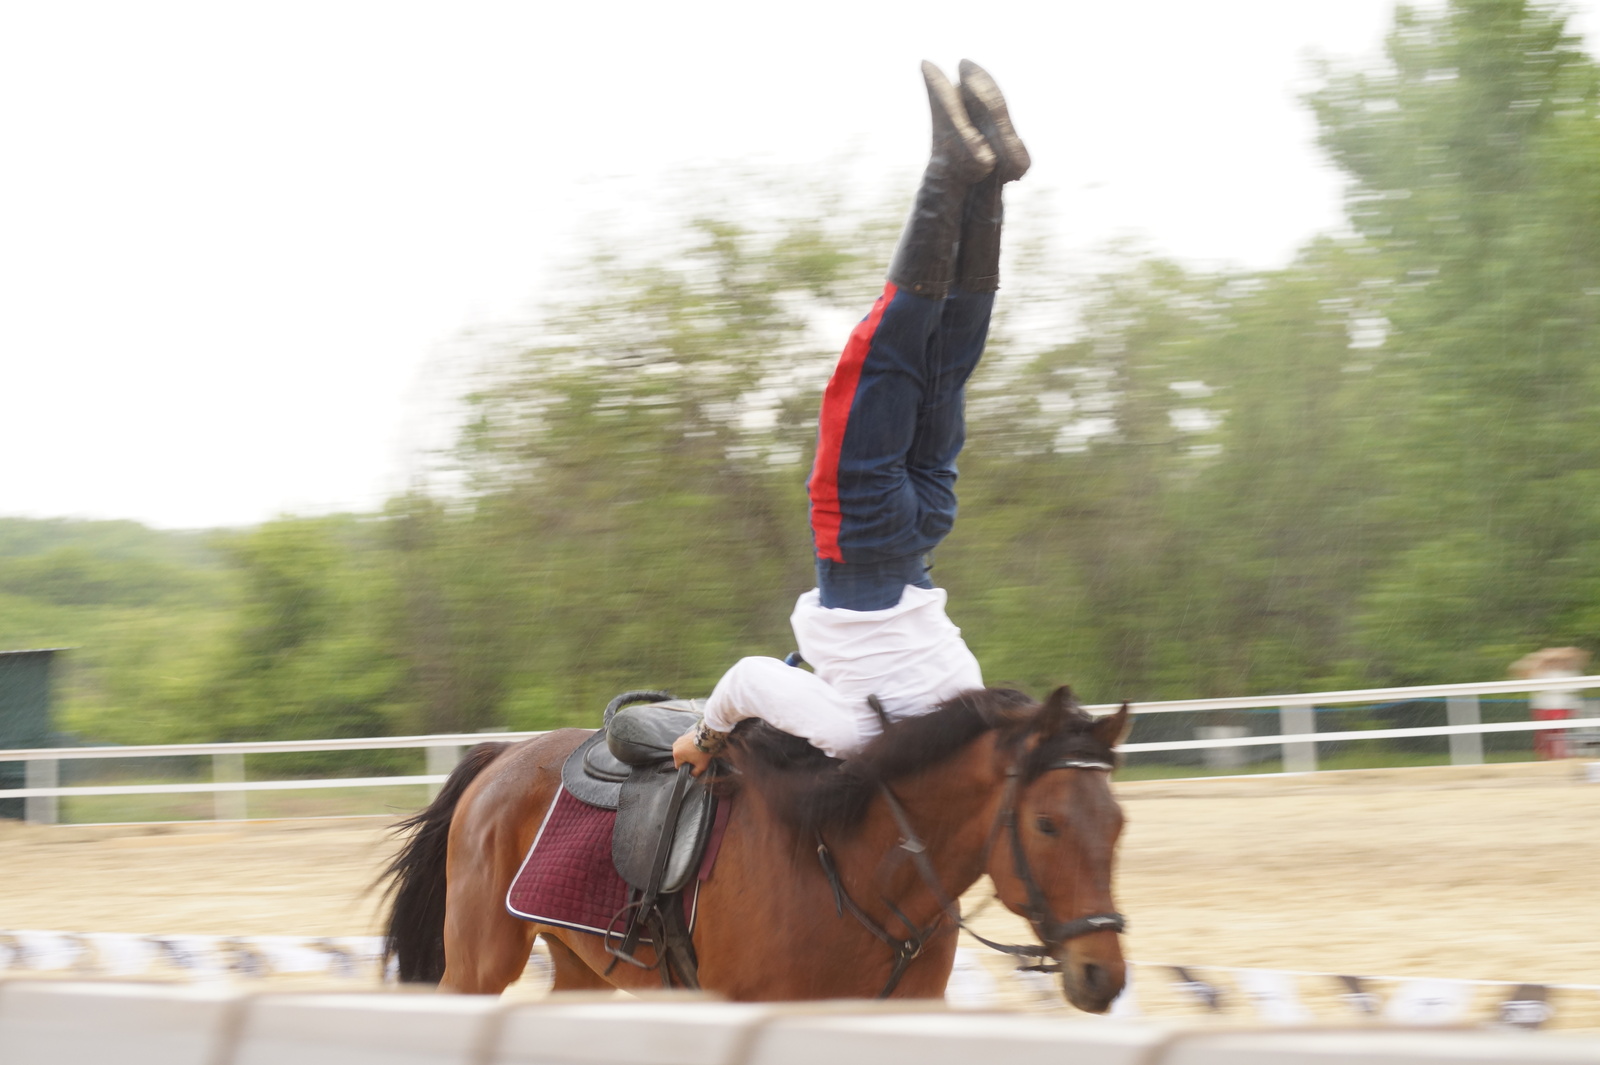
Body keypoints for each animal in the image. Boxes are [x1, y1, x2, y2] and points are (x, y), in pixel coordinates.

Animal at [380, 684, 1132, 1010]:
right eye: (1047, 825)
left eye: (1118, 822)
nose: (1104, 972)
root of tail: (503, 754)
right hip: (479, 963)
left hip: (578, 963)